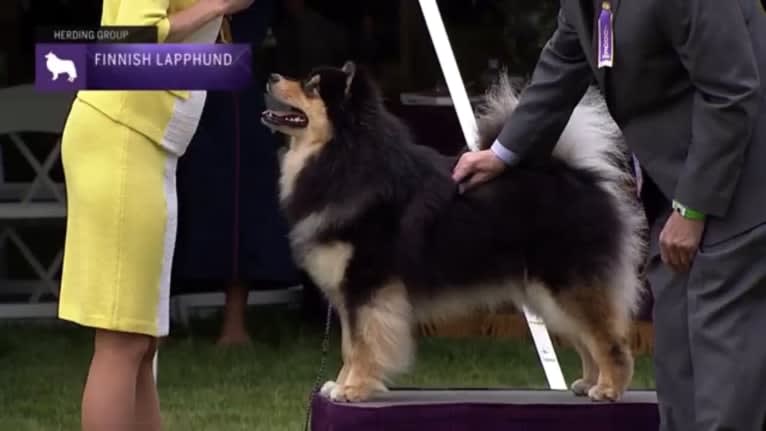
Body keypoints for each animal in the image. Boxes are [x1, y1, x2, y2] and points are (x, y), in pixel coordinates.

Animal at [262, 60, 648, 404]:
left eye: (311, 86)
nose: (272, 76)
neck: (344, 159)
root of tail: (582, 178)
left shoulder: (367, 286)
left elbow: (362, 344)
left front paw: (354, 389)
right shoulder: (350, 294)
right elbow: (350, 345)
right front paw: (340, 384)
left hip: (567, 284)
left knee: (609, 339)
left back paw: (609, 389)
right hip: (548, 296)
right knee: (587, 339)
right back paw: (588, 382)